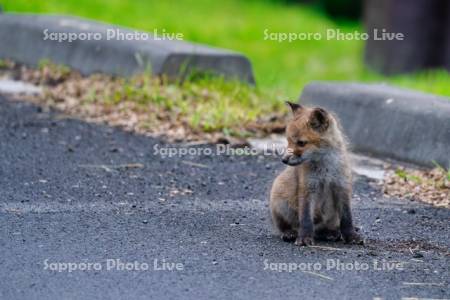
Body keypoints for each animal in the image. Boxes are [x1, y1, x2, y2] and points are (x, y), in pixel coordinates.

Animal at [270, 102, 362, 245]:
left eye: (301, 143)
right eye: (288, 141)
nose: (284, 160)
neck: (326, 169)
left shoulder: (342, 186)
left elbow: (347, 218)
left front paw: (351, 236)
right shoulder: (308, 188)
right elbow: (306, 218)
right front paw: (304, 238)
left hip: (332, 217)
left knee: (327, 228)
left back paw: (331, 233)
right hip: (279, 200)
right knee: (285, 226)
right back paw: (289, 233)